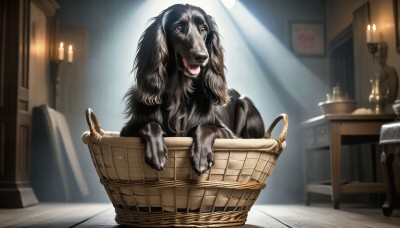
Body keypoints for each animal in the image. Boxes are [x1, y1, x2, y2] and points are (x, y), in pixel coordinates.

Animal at [122, 3, 266, 175]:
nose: (202, 56)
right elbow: (150, 125)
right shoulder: (127, 131)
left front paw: (201, 156)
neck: (179, 91)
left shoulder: (230, 136)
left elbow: (205, 126)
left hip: (245, 103)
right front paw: (157, 152)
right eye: (178, 28)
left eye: (203, 28)